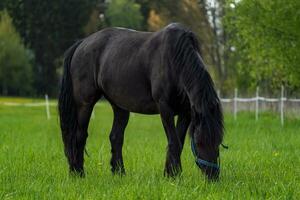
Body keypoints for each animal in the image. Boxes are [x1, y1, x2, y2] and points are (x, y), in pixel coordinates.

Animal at [58, 23, 223, 180]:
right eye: (199, 141)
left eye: (219, 141)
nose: (213, 176)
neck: (174, 60)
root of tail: (81, 43)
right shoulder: (165, 108)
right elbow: (174, 141)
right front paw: (174, 175)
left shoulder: (186, 112)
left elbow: (179, 142)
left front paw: (170, 173)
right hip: (84, 103)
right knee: (79, 136)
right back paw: (78, 173)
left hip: (120, 107)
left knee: (116, 137)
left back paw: (119, 173)